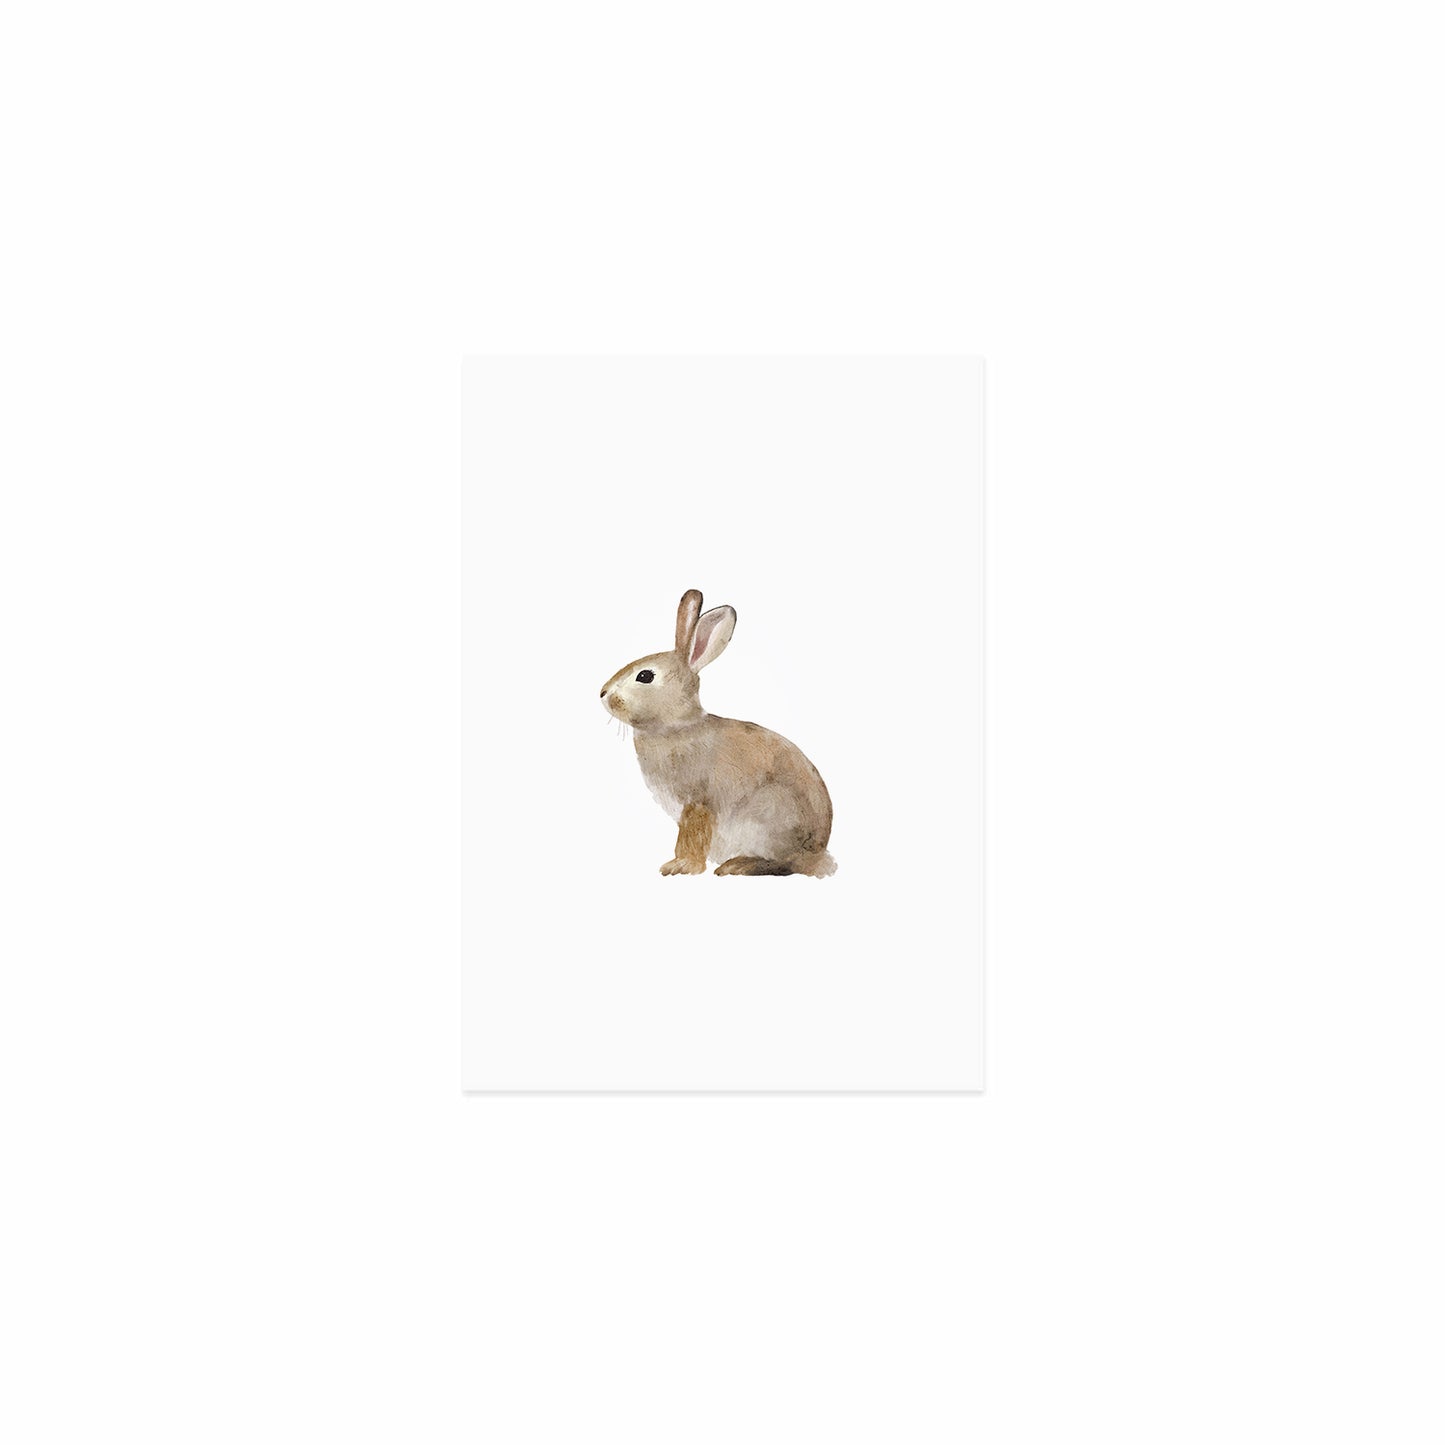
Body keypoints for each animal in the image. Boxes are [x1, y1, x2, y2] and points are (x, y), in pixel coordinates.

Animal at [600, 589, 836, 877]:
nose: (602, 693)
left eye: (645, 676)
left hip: (767, 816)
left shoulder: (697, 802)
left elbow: (691, 838)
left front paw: (680, 866)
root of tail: (817, 853)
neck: (676, 725)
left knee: (782, 863)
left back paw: (738, 865)